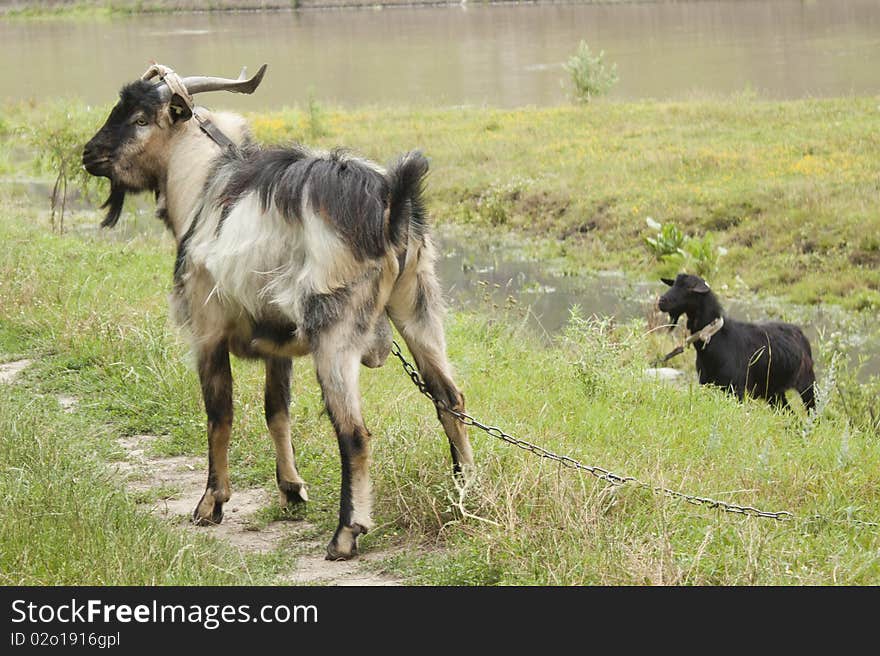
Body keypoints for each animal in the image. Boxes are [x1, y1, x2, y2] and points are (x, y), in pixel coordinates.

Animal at [82, 64, 474, 560]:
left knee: (354, 433)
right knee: (450, 400)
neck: (202, 184)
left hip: (335, 330)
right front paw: (291, 489)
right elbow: (276, 409)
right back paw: (466, 496)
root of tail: (390, 203)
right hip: (418, 305)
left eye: (138, 118)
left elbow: (220, 415)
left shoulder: (207, 331)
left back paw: (346, 534)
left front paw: (210, 503)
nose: (89, 153)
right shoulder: (277, 341)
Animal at [656, 272, 816, 410]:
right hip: (773, 392)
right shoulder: (707, 385)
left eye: (689, 288)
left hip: (807, 384)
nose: (661, 301)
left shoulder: (737, 389)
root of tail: (800, 332)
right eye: (673, 284)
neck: (717, 339)